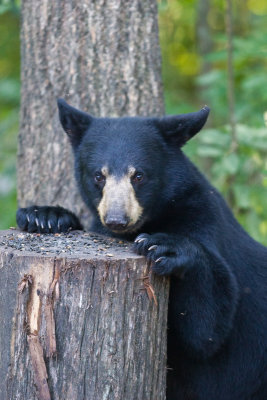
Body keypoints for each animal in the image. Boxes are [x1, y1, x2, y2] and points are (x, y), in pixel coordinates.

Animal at [16, 100, 267, 400]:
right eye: (98, 176)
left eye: (138, 175)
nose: (117, 219)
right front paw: (45, 216)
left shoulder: (202, 218)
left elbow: (208, 330)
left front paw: (166, 247)